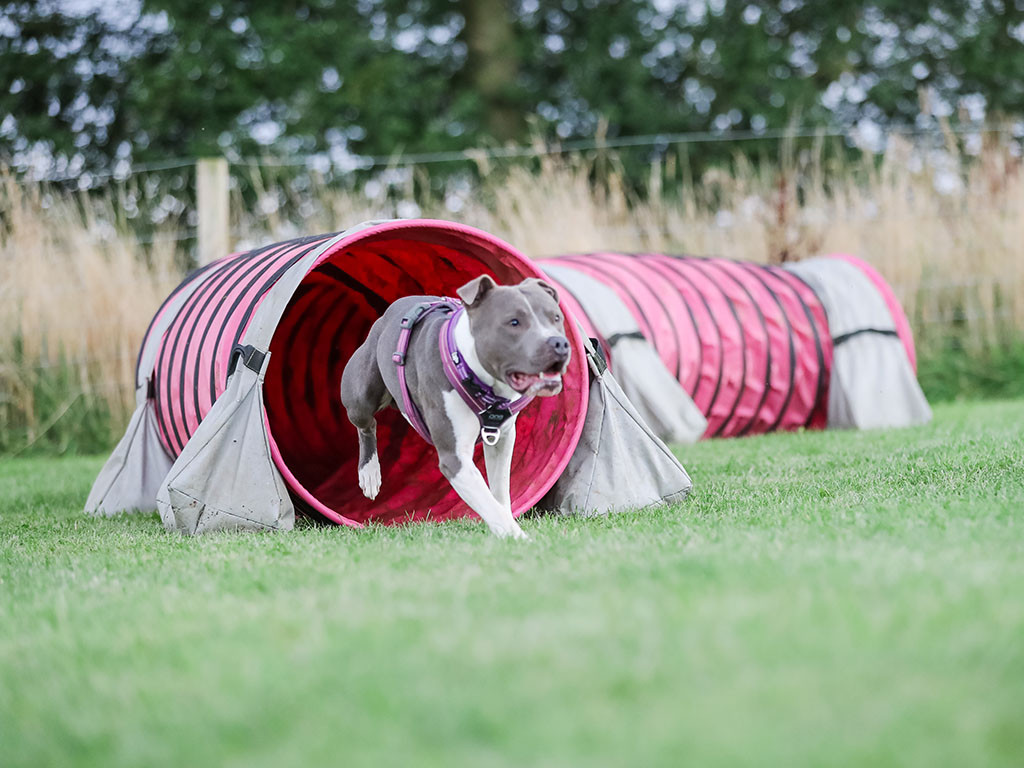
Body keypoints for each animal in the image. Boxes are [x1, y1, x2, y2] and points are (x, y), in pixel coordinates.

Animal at [342, 278, 569, 540]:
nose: (559, 343)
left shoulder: (502, 439)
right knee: (367, 424)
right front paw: (519, 538)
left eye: (556, 318)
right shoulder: (455, 458)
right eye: (514, 322)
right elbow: (489, 502)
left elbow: (499, 494)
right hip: (361, 394)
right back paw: (369, 473)